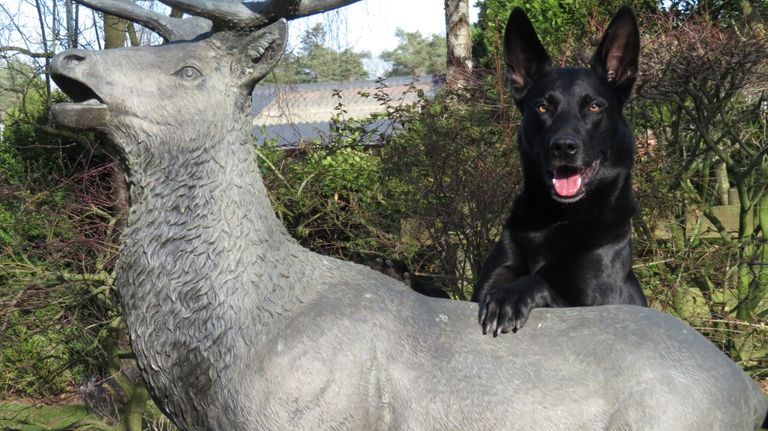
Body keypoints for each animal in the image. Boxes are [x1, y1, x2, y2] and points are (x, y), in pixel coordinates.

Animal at [474, 7, 648, 338]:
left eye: (594, 106)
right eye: (542, 107)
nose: (564, 147)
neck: (558, 220)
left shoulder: (591, 303)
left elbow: (537, 280)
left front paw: (509, 298)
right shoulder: (488, 283)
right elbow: (500, 283)